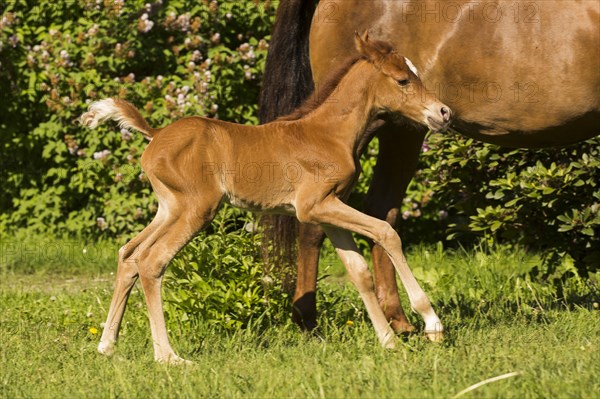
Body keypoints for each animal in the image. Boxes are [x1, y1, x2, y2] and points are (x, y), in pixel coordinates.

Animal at [82, 33, 452, 366]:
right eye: (403, 79)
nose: (444, 112)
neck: (329, 134)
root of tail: (156, 135)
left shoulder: (329, 208)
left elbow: (358, 270)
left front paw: (389, 341)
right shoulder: (314, 206)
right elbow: (387, 232)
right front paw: (431, 324)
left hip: (170, 208)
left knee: (130, 254)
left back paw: (107, 345)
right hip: (196, 210)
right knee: (152, 261)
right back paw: (168, 357)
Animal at [258, 0, 600, 332]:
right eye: (403, 78)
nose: (444, 111)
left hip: (399, 129)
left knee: (380, 212)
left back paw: (399, 321)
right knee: (320, 221)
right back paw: (309, 320)